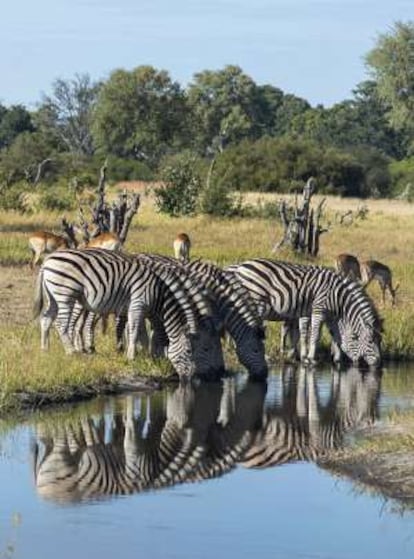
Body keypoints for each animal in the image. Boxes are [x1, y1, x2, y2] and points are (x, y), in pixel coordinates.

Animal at [32, 252, 212, 378]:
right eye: (189, 351)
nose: (191, 376)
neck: (158, 295)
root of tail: (47, 261)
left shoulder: (140, 310)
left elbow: (142, 333)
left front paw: (145, 355)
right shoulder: (137, 304)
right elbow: (134, 331)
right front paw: (132, 357)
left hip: (53, 295)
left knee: (46, 319)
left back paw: (44, 350)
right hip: (65, 293)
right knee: (61, 323)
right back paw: (71, 351)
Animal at [226, 258, 382, 368]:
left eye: (380, 341)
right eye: (370, 341)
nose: (378, 364)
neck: (339, 297)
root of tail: (240, 267)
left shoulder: (329, 316)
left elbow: (336, 336)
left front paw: (337, 360)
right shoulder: (319, 308)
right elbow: (314, 335)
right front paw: (310, 359)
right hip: (255, 300)